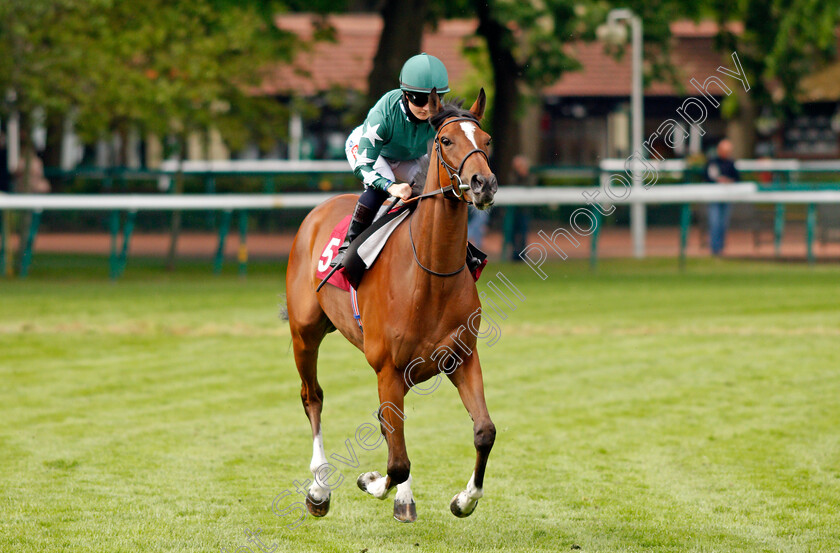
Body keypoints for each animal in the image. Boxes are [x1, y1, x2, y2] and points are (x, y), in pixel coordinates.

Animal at [288, 88, 498, 520]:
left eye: (486, 141)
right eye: (445, 141)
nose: (483, 183)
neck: (430, 274)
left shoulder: (462, 358)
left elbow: (484, 431)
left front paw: (464, 500)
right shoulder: (387, 367)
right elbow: (396, 461)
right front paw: (370, 482)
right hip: (304, 333)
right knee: (312, 397)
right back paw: (319, 488)